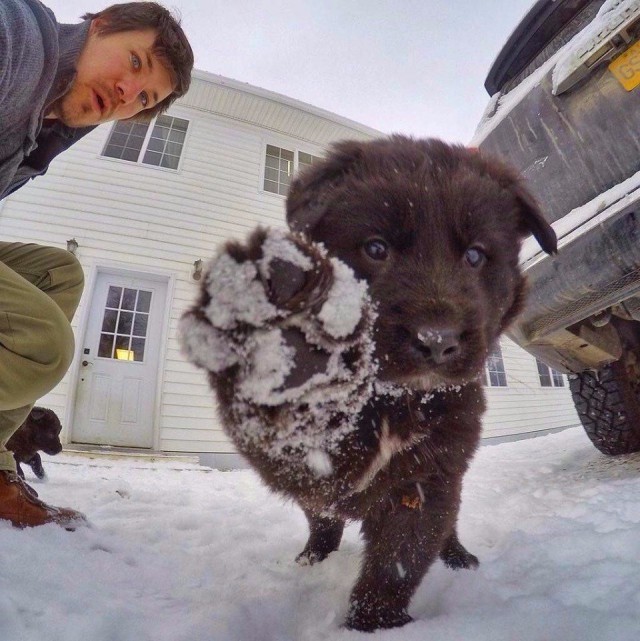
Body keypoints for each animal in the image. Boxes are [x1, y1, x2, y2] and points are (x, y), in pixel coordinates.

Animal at [180, 135, 556, 632]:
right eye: (376, 248)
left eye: (475, 255)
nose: (437, 340)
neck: (388, 399)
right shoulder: (294, 451)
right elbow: (293, 438)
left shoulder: (431, 474)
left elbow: (400, 559)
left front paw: (373, 625)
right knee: (321, 518)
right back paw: (312, 557)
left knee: (444, 526)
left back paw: (459, 558)